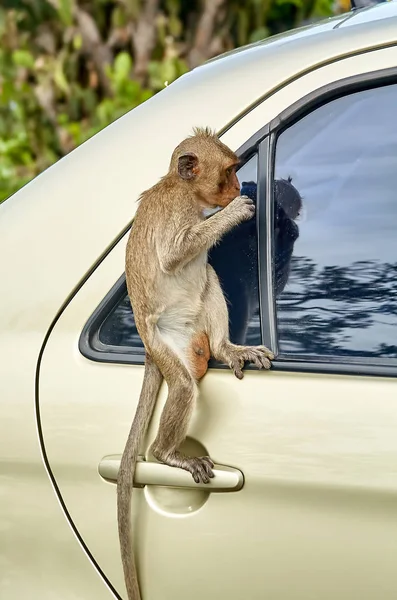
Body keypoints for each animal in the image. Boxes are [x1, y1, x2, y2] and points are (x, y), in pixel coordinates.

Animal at [117, 127, 272, 600]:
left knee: (208, 278)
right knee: (184, 387)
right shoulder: (177, 210)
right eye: (230, 171)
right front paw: (235, 213)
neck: (181, 188)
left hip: (193, 329)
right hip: (166, 345)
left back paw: (225, 348)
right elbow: (173, 253)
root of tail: (148, 346)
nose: (239, 187)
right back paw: (167, 455)